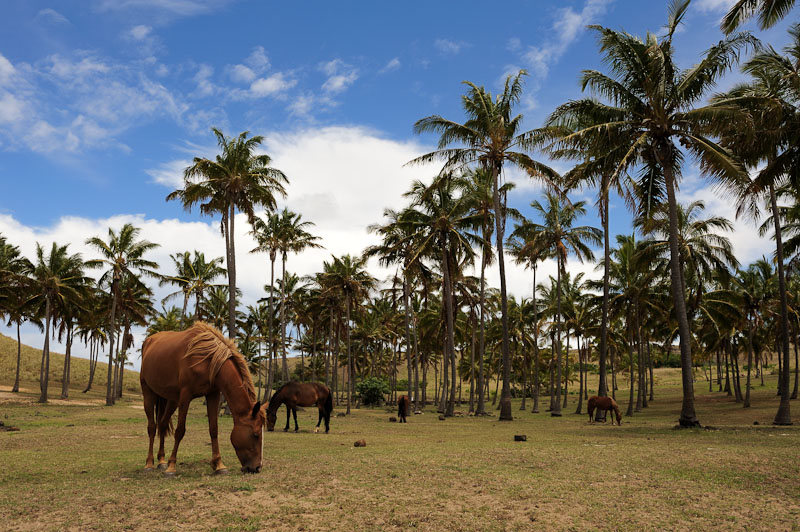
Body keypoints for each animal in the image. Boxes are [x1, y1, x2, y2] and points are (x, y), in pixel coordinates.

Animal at [142, 322, 268, 476]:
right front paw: (171, 467)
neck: (207, 360)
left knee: (163, 424)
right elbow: (180, 431)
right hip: (148, 393)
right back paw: (149, 464)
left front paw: (219, 465)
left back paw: (161, 461)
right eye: (256, 435)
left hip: (171, 400)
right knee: (152, 427)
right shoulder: (185, 396)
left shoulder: (213, 394)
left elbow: (213, 429)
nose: (257, 468)